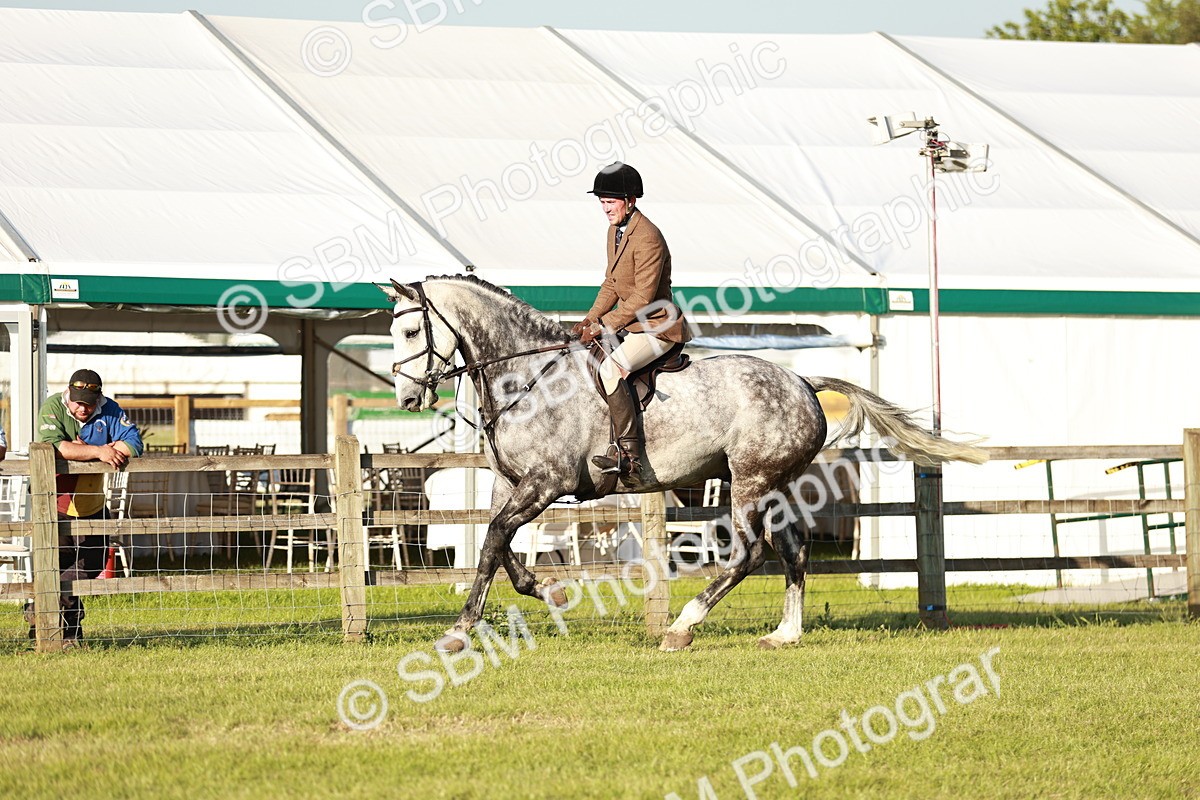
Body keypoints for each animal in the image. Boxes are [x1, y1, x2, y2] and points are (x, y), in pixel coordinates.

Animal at [383, 275, 986, 652]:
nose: (408, 398)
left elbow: (491, 543)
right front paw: (548, 589)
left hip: (749, 483)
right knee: (793, 550)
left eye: (412, 331)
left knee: (749, 554)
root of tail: (802, 380)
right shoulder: (509, 484)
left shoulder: (544, 484)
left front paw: (460, 630)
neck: (527, 377)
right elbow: (499, 542)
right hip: (771, 486)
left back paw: (682, 626)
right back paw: (784, 634)